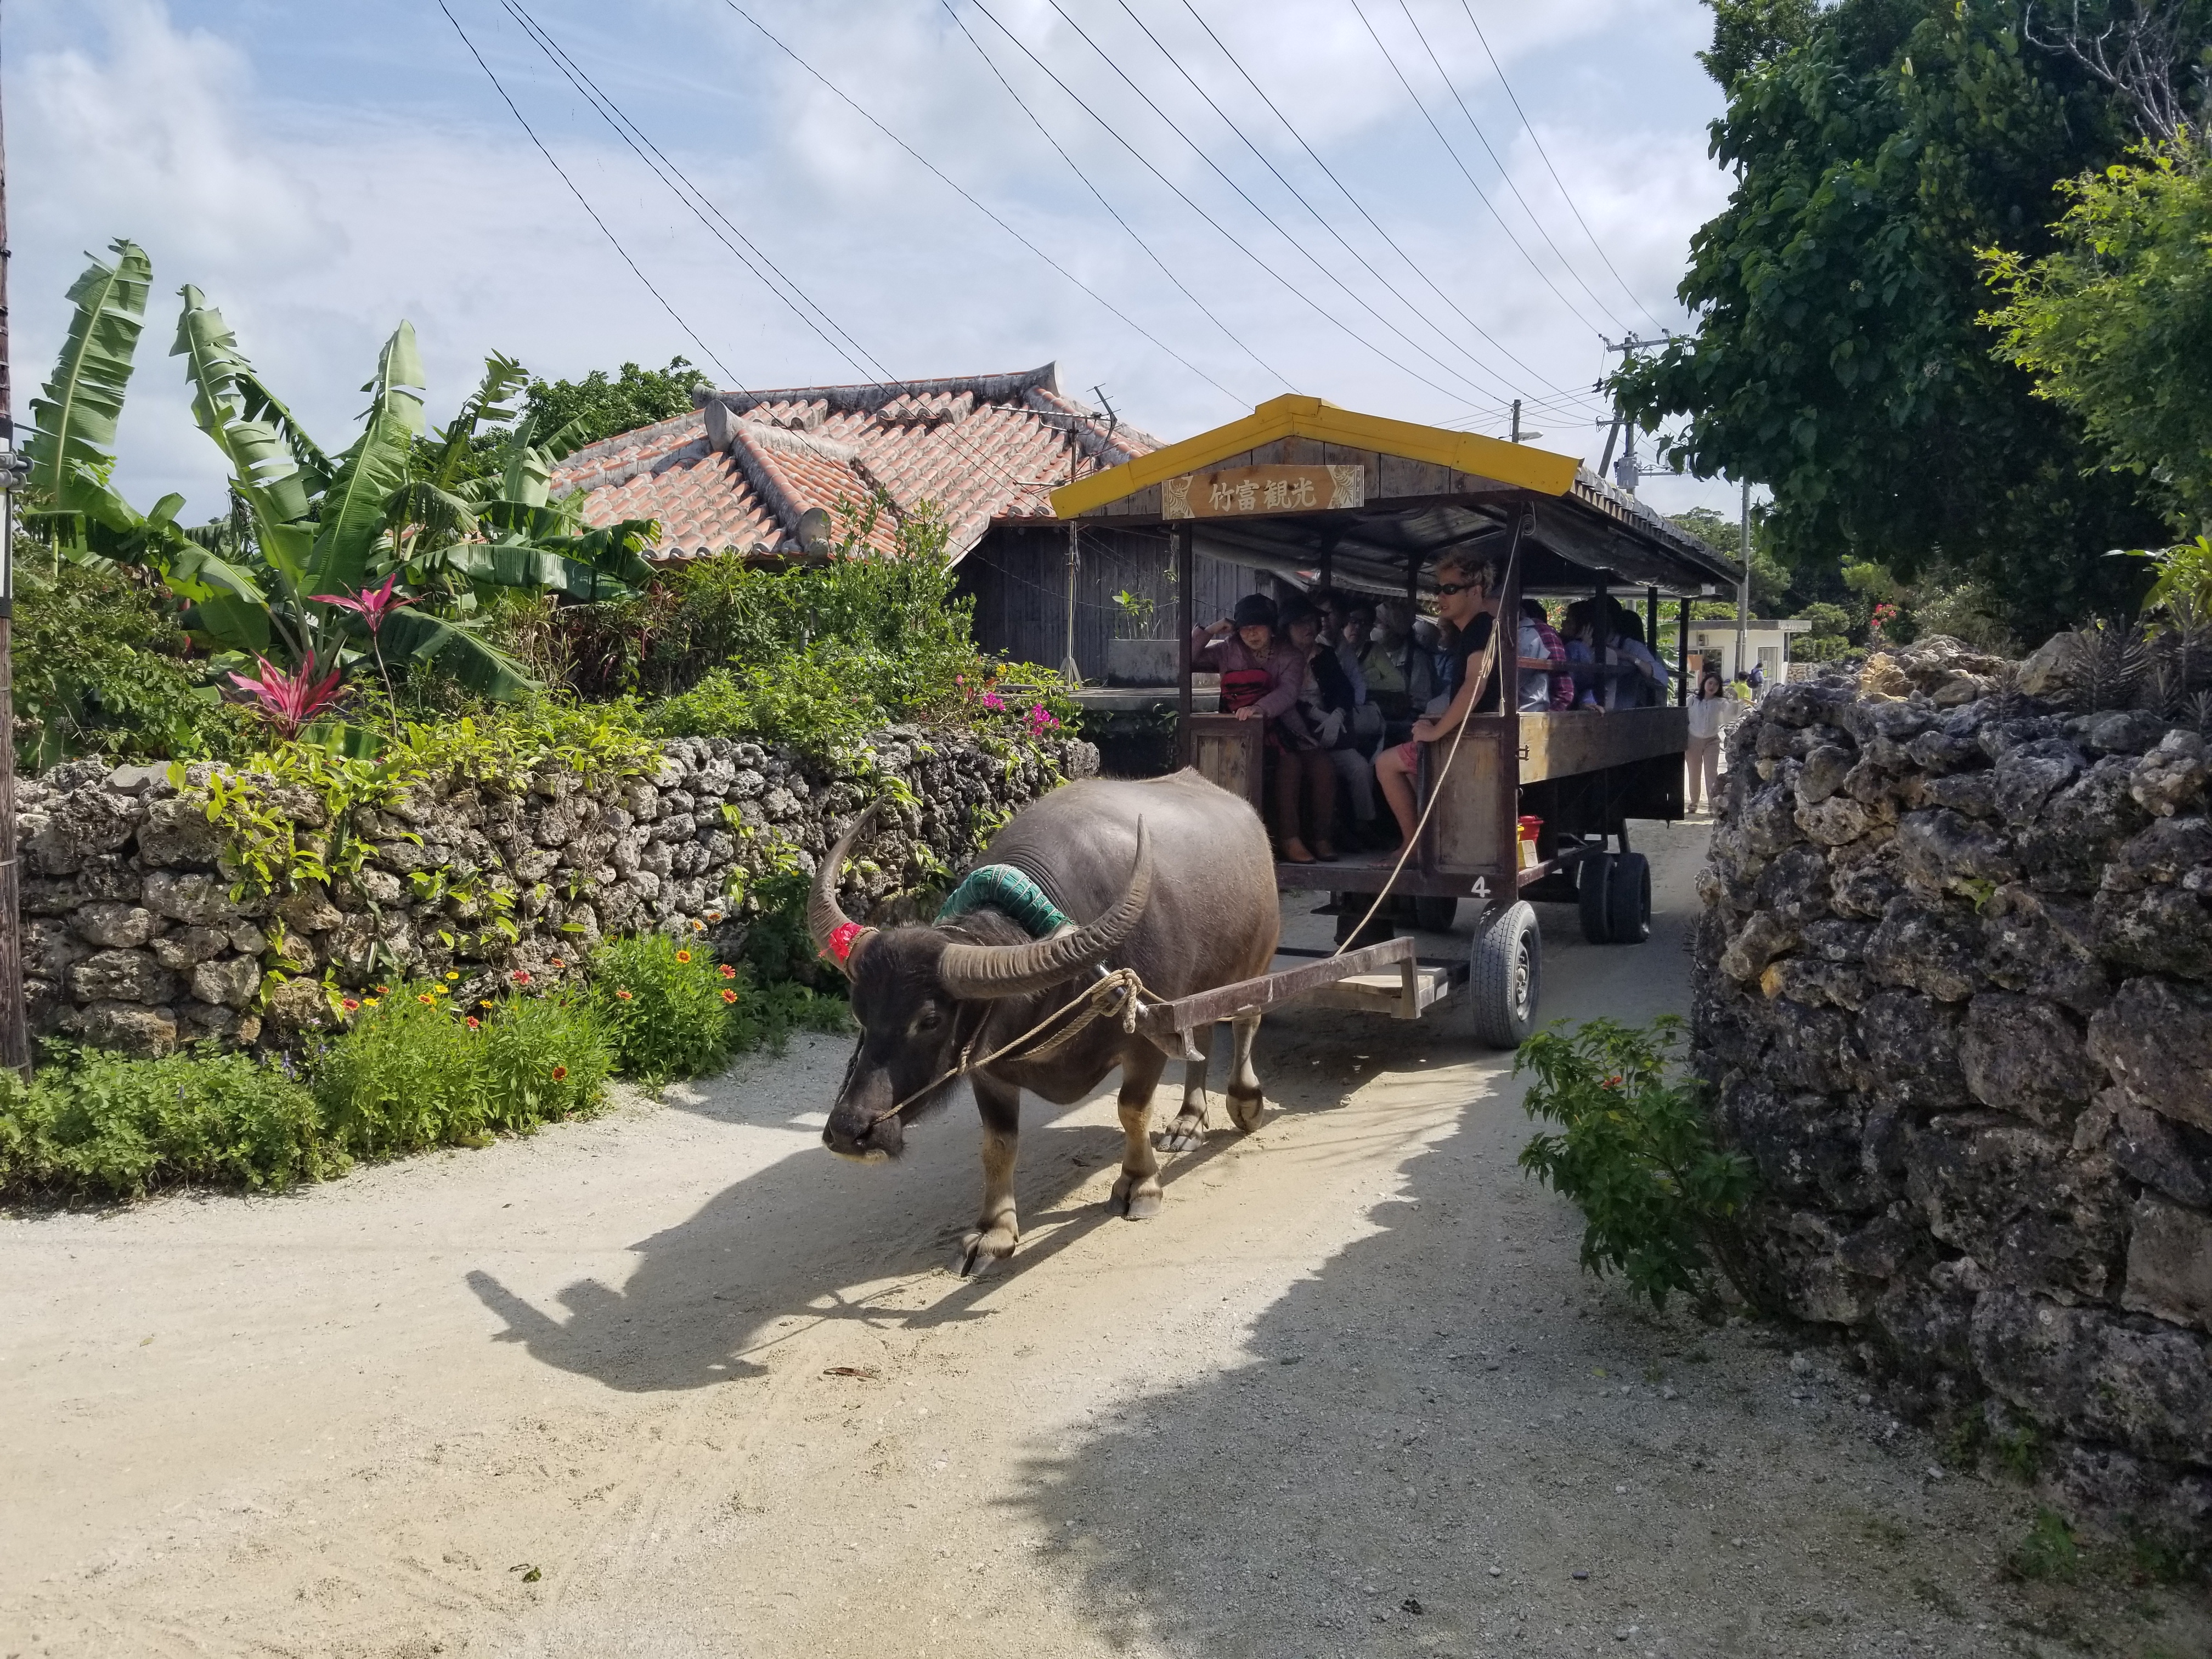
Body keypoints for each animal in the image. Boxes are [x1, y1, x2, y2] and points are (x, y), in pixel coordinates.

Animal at [814, 774, 1283, 1283]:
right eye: (859, 1012)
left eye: (930, 1020)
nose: (849, 1131)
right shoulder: (989, 1068)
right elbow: (998, 1145)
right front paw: (994, 1233)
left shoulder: (1145, 1041)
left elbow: (1131, 1111)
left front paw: (1140, 1185)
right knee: (1203, 1035)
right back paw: (1189, 1122)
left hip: (1254, 966)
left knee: (1245, 1022)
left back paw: (1244, 1101)